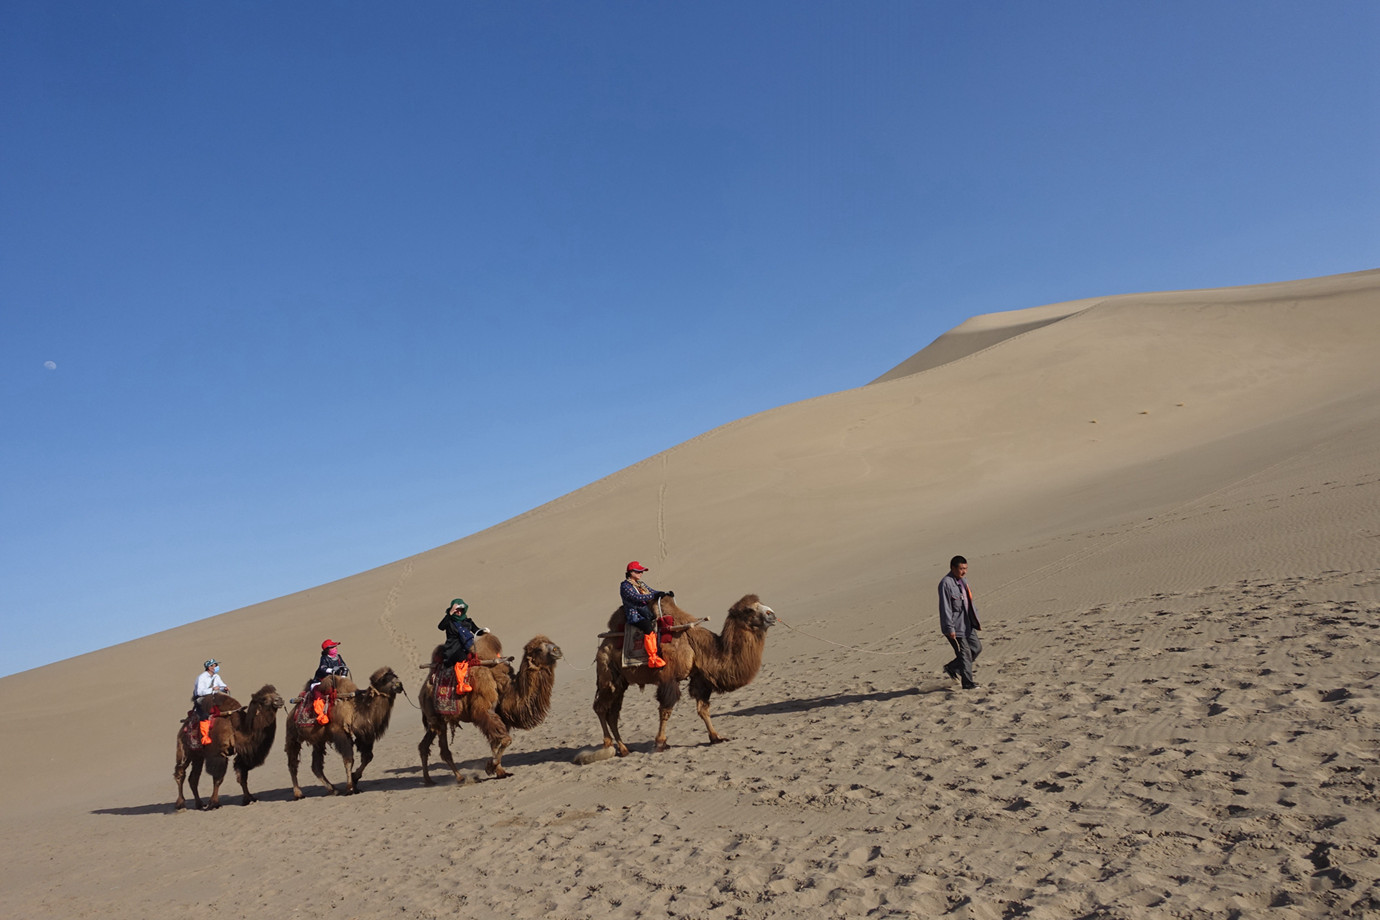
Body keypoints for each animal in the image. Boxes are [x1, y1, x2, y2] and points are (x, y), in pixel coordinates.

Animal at [284, 664, 402, 800]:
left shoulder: (363, 734)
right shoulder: (340, 732)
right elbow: (348, 759)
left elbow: (367, 756)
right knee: (292, 764)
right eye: (384, 679)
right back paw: (298, 793)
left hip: (318, 741)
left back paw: (333, 789)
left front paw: (355, 780)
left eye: (395, 676)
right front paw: (350, 788)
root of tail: (292, 712)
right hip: (292, 735)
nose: (399, 685)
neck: (355, 709)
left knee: (316, 766)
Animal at [422, 634, 568, 783]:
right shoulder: (483, 712)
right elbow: (505, 740)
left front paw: (500, 772)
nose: (557, 650)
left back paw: (429, 780)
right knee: (443, 749)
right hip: (437, 717)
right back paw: (460, 778)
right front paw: (490, 767)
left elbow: (496, 743)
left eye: (551, 643)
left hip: (436, 721)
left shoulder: (501, 717)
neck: (503, 686)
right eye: (539, 649)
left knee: (424, 745)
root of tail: (424, 688)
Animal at [596, 593, 778, 761]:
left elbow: (703, 709)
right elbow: (666, 710)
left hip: (621, 682)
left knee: (613, 713)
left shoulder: (699, 677)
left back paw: (624, 749)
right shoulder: (668, 678)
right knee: (600, 708)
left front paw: (716, 737)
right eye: (748, 610)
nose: (772, 614)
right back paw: (608, 744)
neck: (697, 647)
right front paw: (660, 743)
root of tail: (604, 643)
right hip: (607, 674)